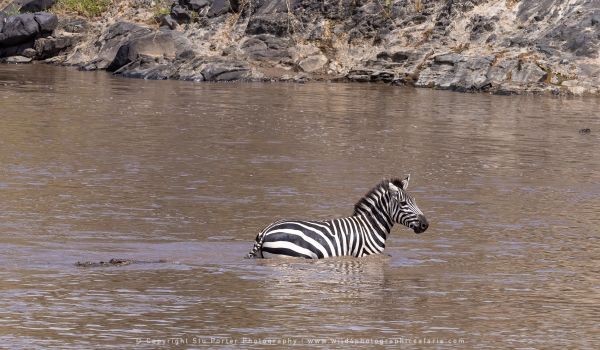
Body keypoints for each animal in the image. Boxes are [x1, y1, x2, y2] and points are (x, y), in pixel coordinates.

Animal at [246, 176, 428, 258]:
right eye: (403, 203)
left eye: (414, 201)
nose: (425, 225)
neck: (369, 226)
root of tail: (266, 231)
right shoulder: (366, 256)